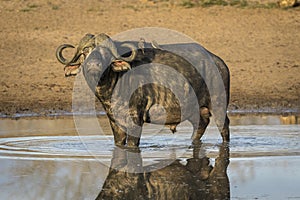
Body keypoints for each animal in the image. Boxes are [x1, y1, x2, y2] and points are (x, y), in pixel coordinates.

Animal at [56, 32, 230, 147]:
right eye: (85, 52)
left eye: (105, 52)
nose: (94, 65)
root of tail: (218, 61)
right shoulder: (114, 122)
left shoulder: (135, 120)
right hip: (195, 110)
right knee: (201, 123)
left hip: (219, 105)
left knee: (224, 126)